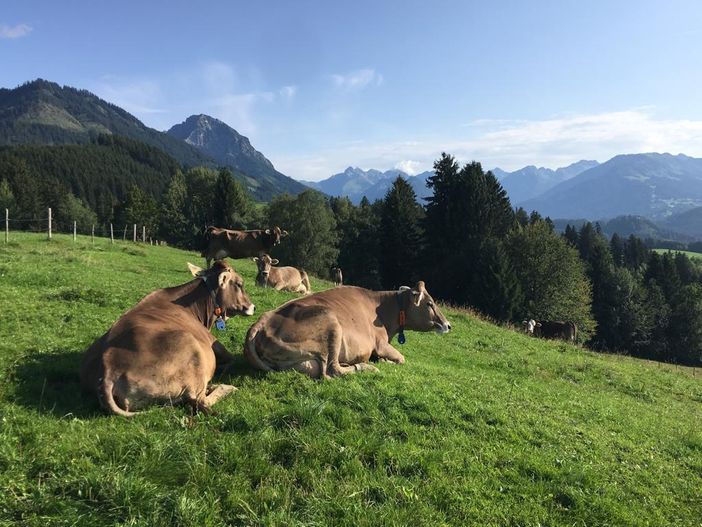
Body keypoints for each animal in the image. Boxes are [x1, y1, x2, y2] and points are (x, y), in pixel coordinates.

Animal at [80, 260, 256, 416]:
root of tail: (107, 373)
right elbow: (232, 359)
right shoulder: (214, 343)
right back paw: (226, 388)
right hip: (190, 347)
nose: (253, 307)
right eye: (240, 284)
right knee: (199, 400)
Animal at [245, 280, 454, 380]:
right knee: (331, 371)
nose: (448, 325)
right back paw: (366, 367)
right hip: (331, 325)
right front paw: (384, 362)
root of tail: (262, 320)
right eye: (430, 303)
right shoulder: (380, 343)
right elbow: (402, 358)